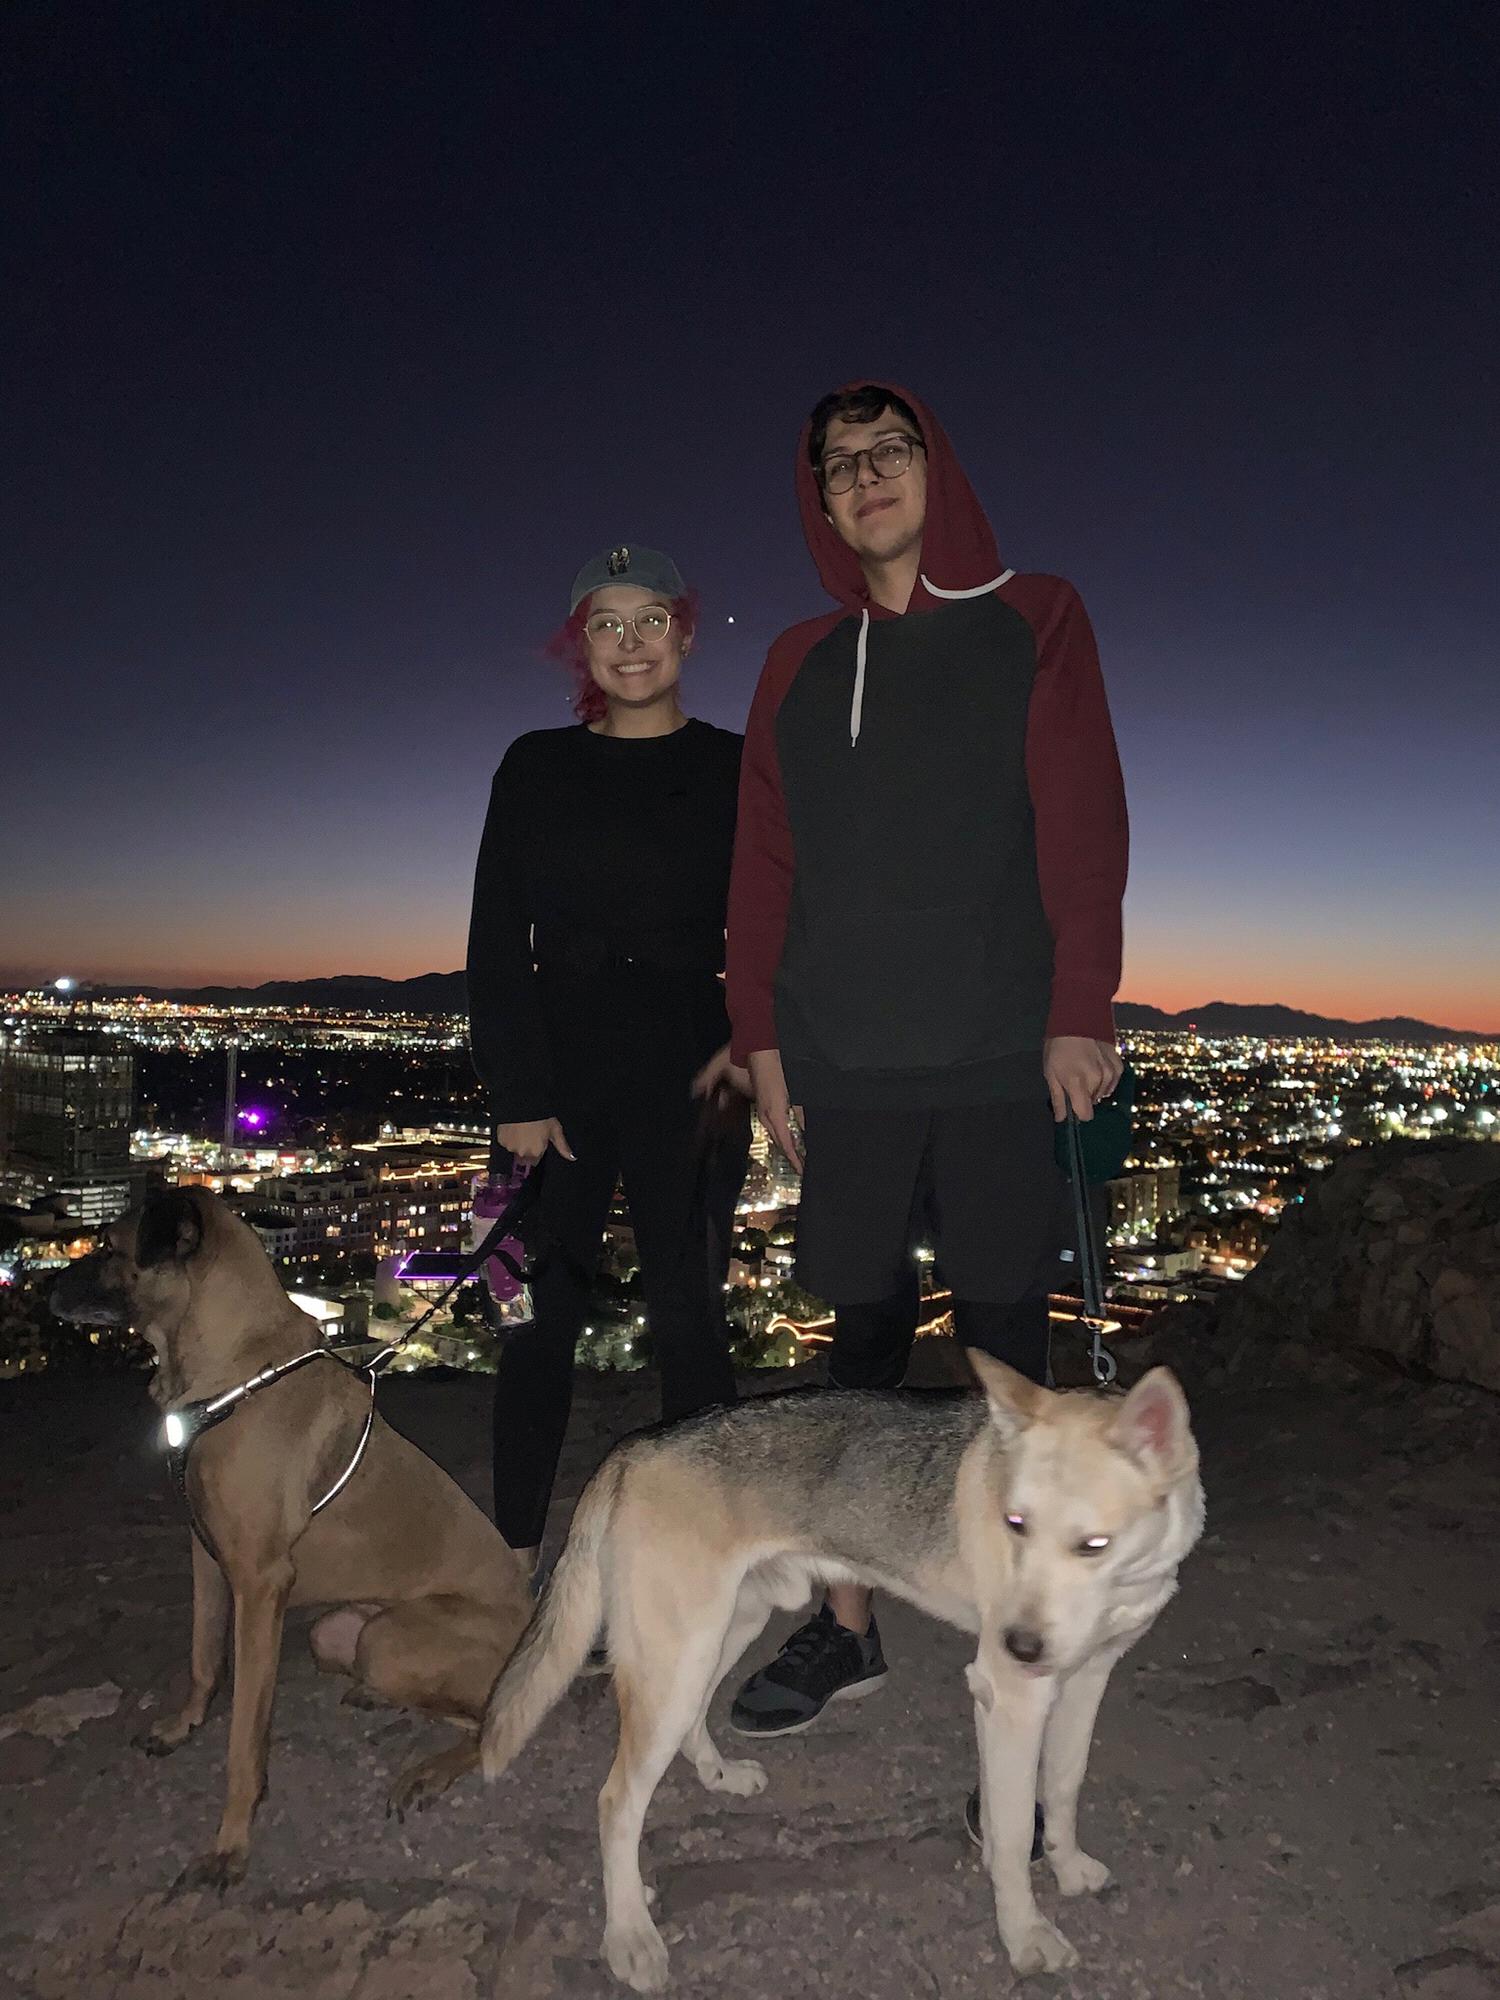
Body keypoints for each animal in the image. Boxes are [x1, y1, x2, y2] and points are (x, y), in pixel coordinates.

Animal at [51, 1185, 532, 1886]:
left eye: (111, 1246)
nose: (44, 1289)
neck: (234, 1370)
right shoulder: (206, 1556)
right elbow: (202, 1659)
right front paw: (181, 1725)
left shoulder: (259, 1586)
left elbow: (244, 1738)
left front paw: (231, 1842)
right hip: (338, 1634)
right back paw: (374, 1700)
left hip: (392, 1637)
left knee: (491, 1724)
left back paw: (426, 1771)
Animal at [479, 1356, 1204, 1990]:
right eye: (1014, 1525)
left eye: (1093, 1546)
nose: (1016, 1643)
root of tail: (634, 1449)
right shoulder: (1012, 1699)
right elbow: (1011, 1832)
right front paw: (1024, 1935)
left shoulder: (1087, 1678)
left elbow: (1062, 1787)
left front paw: (1069, 1867)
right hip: (678, 1657)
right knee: (616, 1803)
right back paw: (629, 1934)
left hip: (723, 1633)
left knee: (690, 1727)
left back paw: (719, 1775)